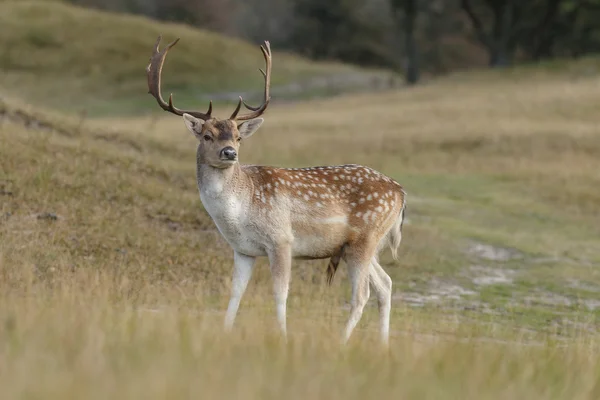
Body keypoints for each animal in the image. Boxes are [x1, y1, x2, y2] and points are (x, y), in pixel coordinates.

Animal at [146, 36, 408, 346]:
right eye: (207, 136)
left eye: (238, 136)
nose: (229, 152)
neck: (240, 210)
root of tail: (400, 192)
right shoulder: (243, 249)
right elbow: (236, 292)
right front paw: (225, 332)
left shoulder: (281, 239)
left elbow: (280, 294)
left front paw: (282, 337)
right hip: (358, 246)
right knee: (385, 284)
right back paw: (383, 345)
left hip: (365, 238)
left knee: (362, 294)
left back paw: (341, 342)